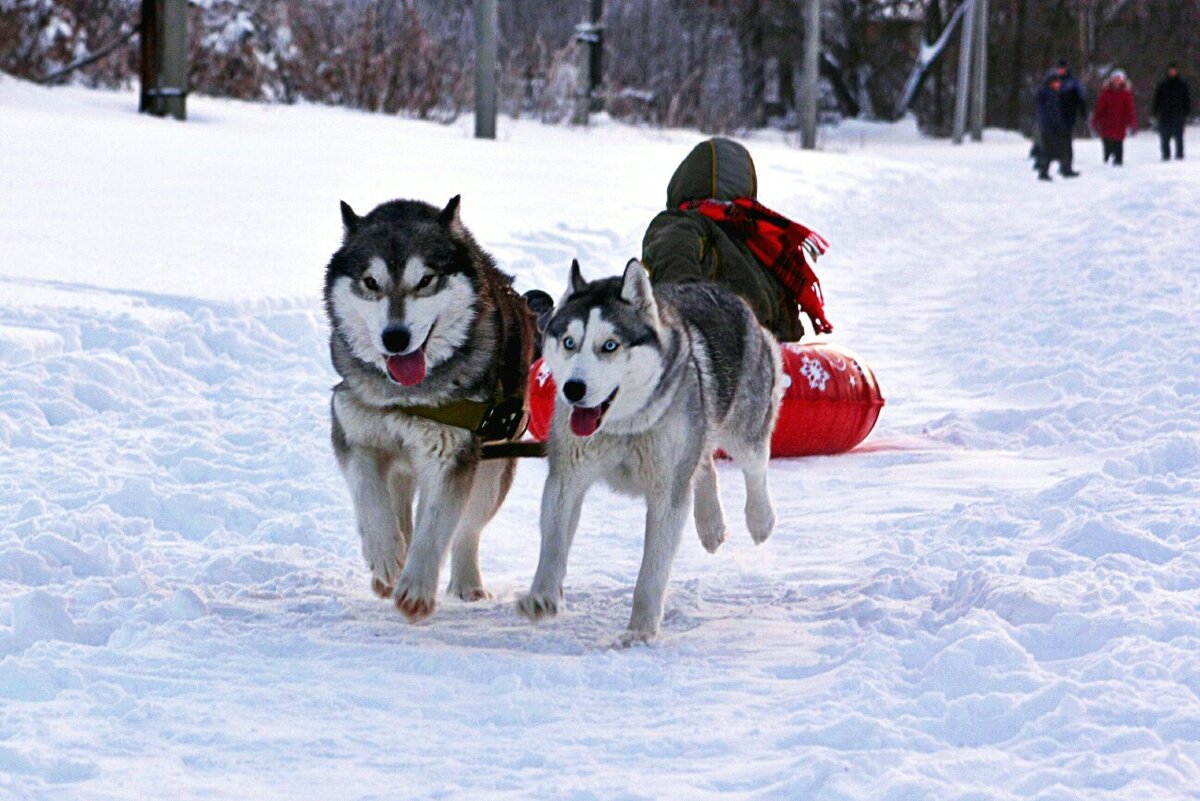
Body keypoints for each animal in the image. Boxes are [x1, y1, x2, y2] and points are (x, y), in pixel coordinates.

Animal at [328, 196, 535, 623]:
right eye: (371, 282)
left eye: (425, 280)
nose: (395, 337)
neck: (405, 396)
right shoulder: (353, 430)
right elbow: (368, 495)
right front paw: (385, 555)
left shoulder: (451, 453)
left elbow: (437, 525)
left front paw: (416, 588)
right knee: (401, 509)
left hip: (493, 465)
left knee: (467, 530)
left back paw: (467, 583)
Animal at [518, 261, 782, 642]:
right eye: (569, 342)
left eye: (609, 345)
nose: (573, 389)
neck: (623, 426)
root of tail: (726, 293)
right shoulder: (566, 477)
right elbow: (553, 542)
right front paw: (542, 596)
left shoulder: (667, 492)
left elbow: (652, 570)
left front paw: (641, 629)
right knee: (704, 462)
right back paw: (711, 523)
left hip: (743, 424)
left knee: (754, 463)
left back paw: (760, 519)